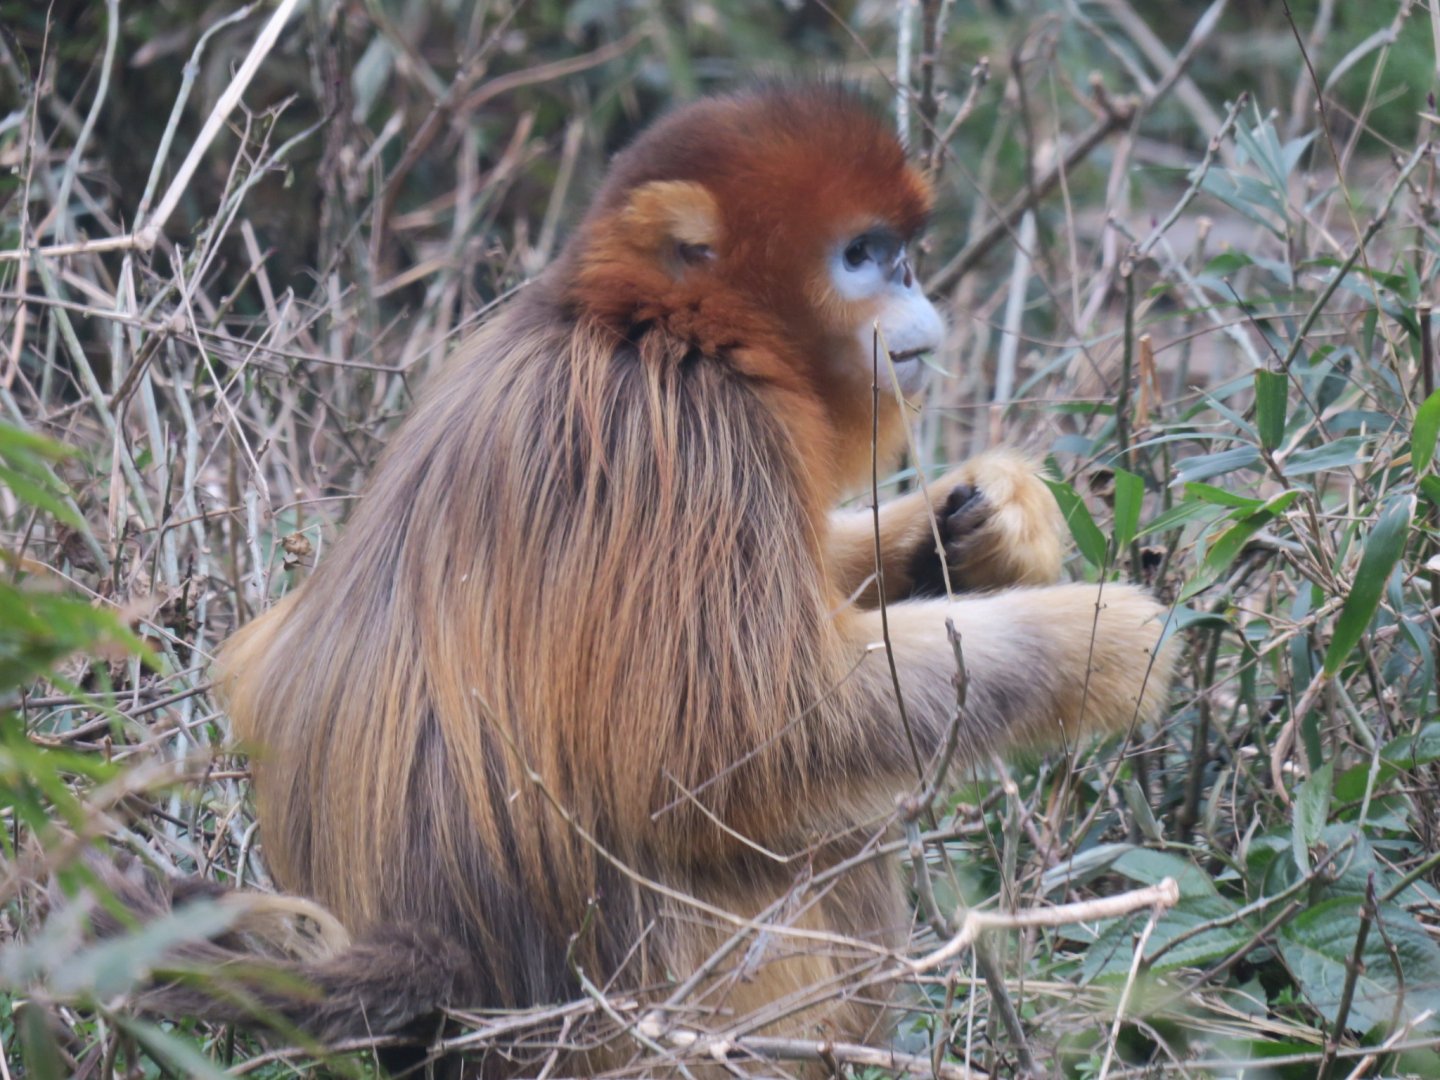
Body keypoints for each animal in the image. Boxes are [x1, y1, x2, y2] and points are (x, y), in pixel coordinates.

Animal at [96, 85, 1175, 1074]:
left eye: (899, 250)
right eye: (863, 255)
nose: (914, 290)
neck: (643, 320)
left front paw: (991, 523)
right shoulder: (693, 432)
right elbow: (740, 732)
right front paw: (1103, 643)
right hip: (642, 1005)